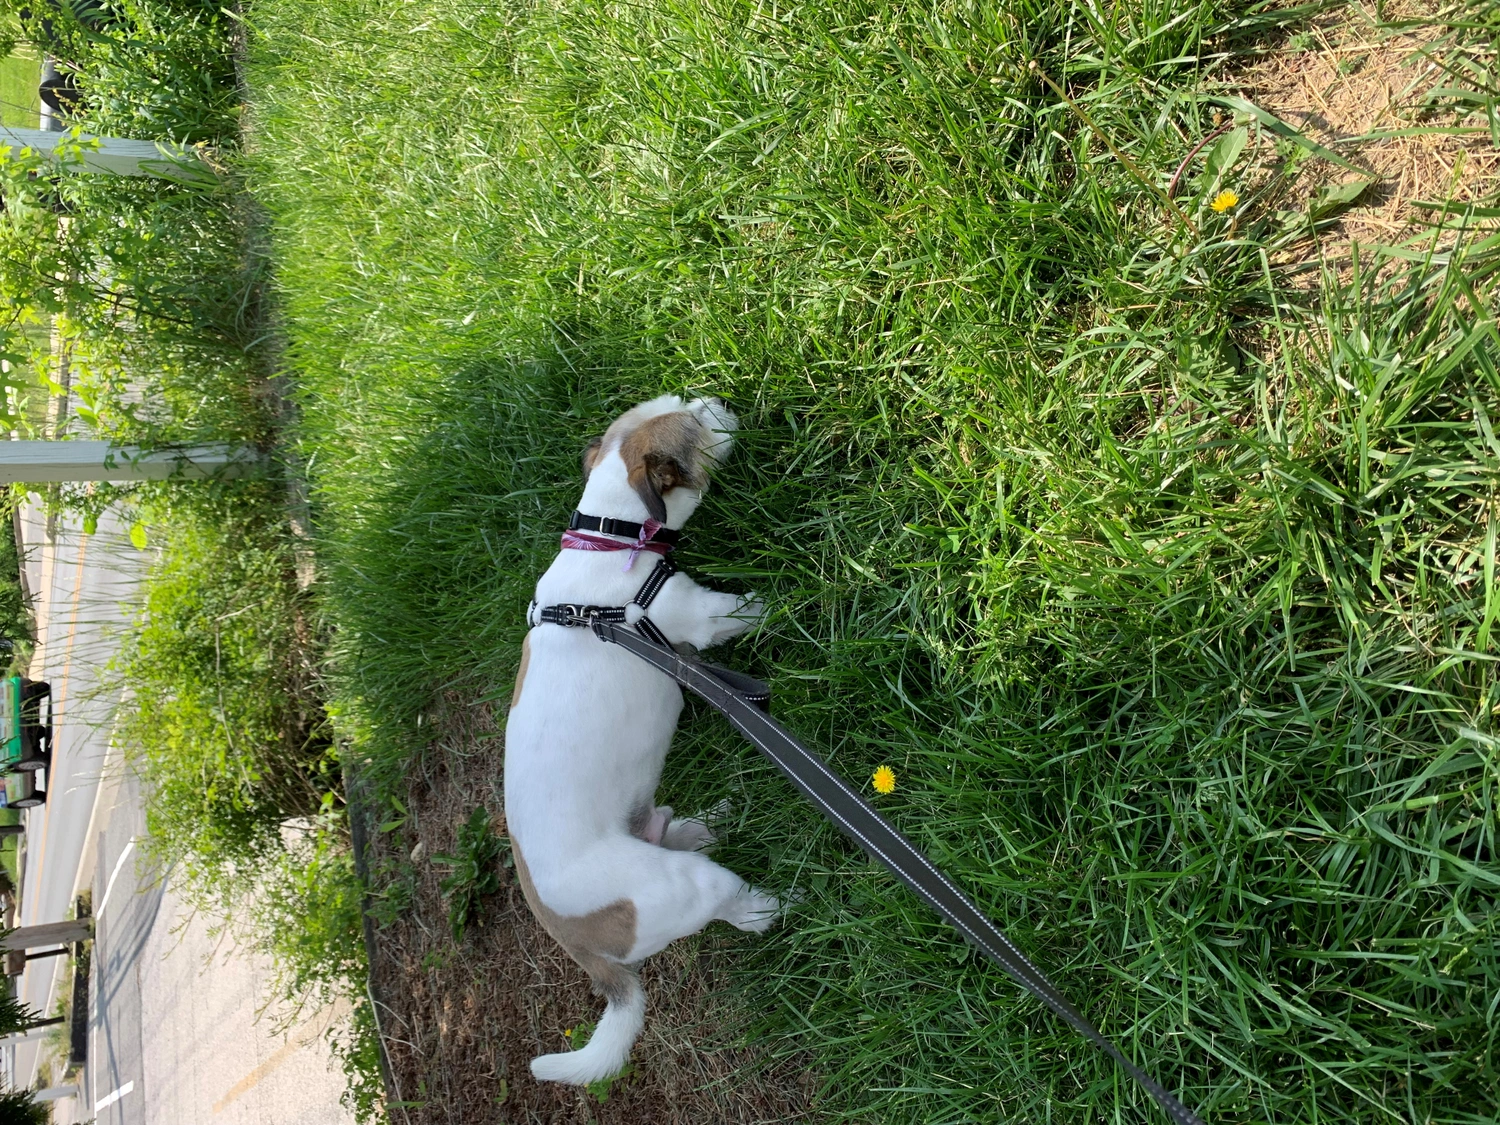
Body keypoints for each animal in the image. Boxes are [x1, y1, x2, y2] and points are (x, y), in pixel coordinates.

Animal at [504, 394, 781, 1085]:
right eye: (699, 424)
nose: (717, 397)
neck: (610, 539)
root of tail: (576, 944)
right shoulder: (699, 616)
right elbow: (750, 610)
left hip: (658, 835)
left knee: (677, 827)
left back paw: (715, 818)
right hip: (676, 888)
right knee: (724, 900)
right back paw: (761, 906)